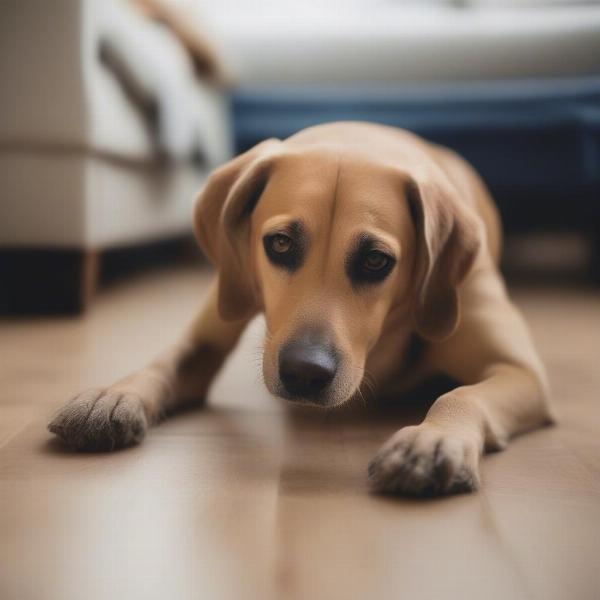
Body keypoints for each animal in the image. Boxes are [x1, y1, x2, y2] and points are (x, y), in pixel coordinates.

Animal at [49, 122, 556, 496]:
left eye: (376, 260)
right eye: (280, 243)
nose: (304, 372)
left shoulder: (521, 371)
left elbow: (460, 395)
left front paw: (433, 439)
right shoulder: (214, 320)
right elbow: (166, 362)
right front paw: (114, 395)